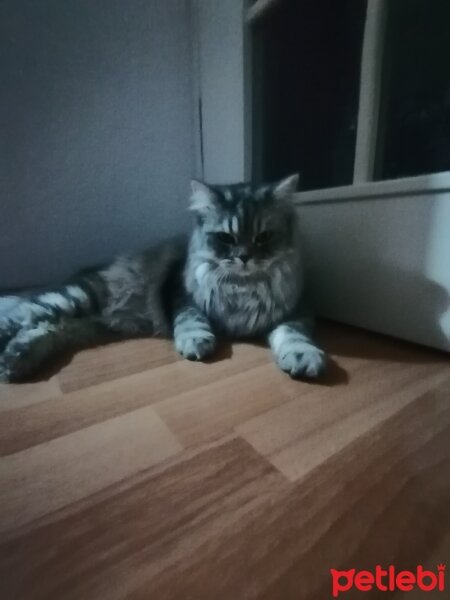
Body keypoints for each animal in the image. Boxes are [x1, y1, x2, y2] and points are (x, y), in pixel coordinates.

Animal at [0, 173, 326, 382]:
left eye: (263, 237)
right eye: (226, 237)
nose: (244, 258)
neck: (243, 288)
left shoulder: (296, 311)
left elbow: (294, 336)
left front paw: (303, 357)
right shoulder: (182, 296)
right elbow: (192, 320)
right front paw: (196, 342)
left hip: (87, 324)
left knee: (46, 328)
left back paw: (15, 360)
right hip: (75, 297)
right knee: (23, 315)